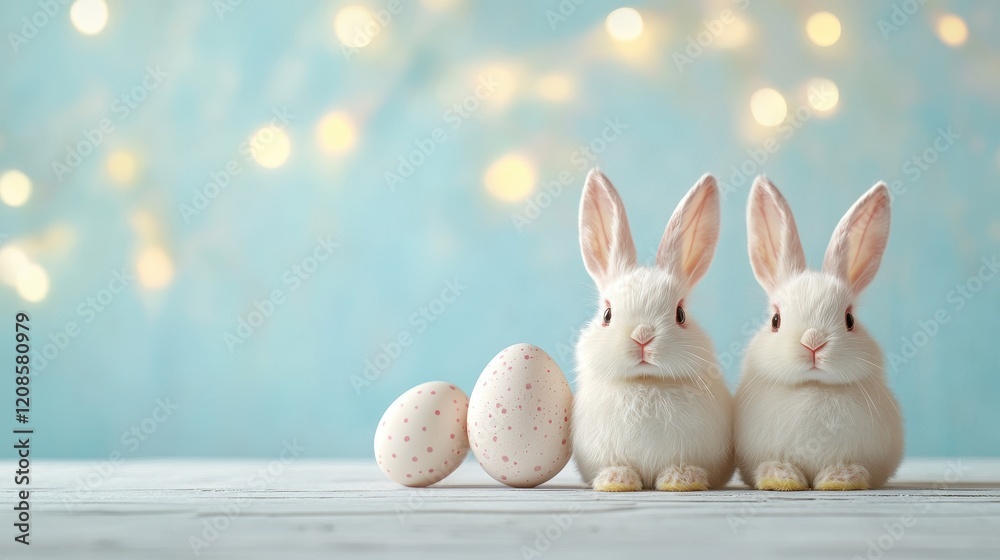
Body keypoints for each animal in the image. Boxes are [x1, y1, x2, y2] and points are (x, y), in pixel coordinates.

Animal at [572, 169, 734, 492]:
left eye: (680, 314)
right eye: (607, 315)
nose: (642, 336)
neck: (646, 381)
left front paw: (682, 480)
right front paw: (616, 481)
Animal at [735, 176, 904, 491]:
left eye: (849, 319)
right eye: (775, 320)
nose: (813, 342)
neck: (814, 386)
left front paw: (841, 479)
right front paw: (781, 478)